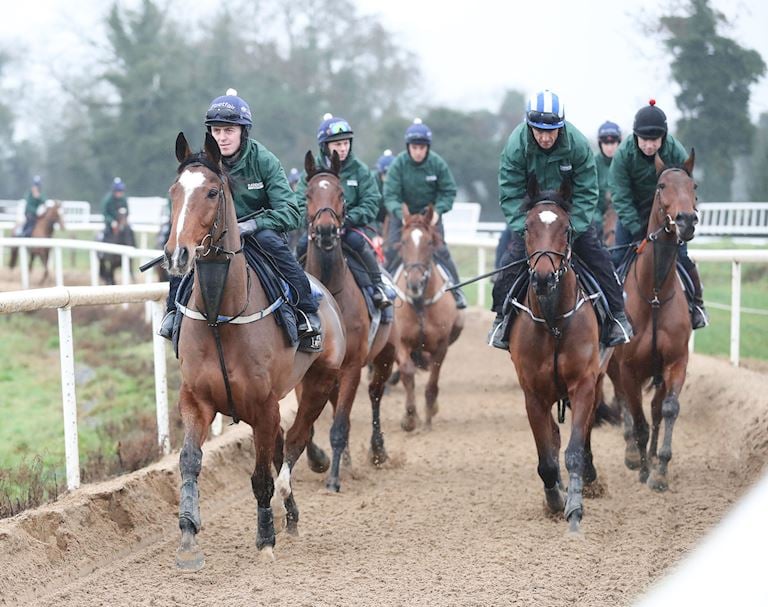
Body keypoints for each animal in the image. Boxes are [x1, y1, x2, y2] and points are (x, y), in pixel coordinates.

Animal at [165, 133, 344, 568]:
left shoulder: (263, 405)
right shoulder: (196, 399)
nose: (176, 254)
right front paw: (188, 534)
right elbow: (189, 461)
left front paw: (265, 539)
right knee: (282, 447)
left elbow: (262, 475)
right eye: (174, 191)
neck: (219, 317)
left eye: (212, 191)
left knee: (293, 443)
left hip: (320, 382)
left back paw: (285, 510)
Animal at [298, 150, 400, 492]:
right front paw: (318, 459)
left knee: (375, 395)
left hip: (385, 356)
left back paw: (376, 451)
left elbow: (340, 425)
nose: (327, 230)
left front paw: (332, 479)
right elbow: (310, 422)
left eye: (341, 193)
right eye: (307, 194)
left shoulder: (353, 366)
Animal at [392, 205, 464, 432]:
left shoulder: (441, 346)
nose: (414, 283)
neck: (420, 303)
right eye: (404, 241)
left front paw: (428, 419)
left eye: (430, 242)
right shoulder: (401, 342)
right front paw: (409, 418)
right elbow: (407, 372)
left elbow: (433, 382)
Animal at [510, 175, 608, 532]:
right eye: (527, 227)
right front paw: (554, 498)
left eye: (566, 229)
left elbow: (574, 450)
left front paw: (575, 507)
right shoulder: (533, 394)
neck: (553, 322)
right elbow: (547, 459)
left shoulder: (583, 384)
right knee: (552, 436)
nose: (542, 276)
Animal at [608, 150, 700, 492]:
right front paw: (641, 465)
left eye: (693, 185)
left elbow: (667, 410)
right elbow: (637, 418)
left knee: (656, 410)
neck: (656, 293)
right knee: (625, 405)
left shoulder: (675, 361)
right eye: (661, 186)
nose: (686, 220)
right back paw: (633, 454)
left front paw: (660, 470)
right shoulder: (627, 368)